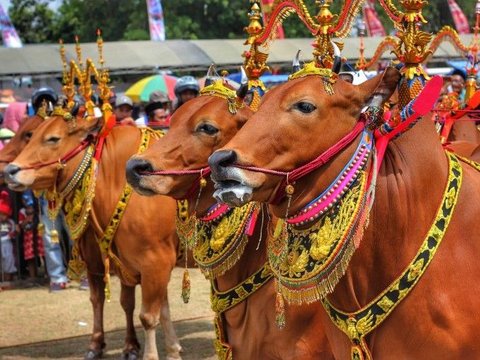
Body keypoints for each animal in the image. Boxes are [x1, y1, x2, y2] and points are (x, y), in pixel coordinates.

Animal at [3, 114, 182, 360]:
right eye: (32, 134)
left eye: (52, 138)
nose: (10, 170)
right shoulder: (113, 263)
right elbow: (129, 304)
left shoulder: (156, 261)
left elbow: (148, 316)